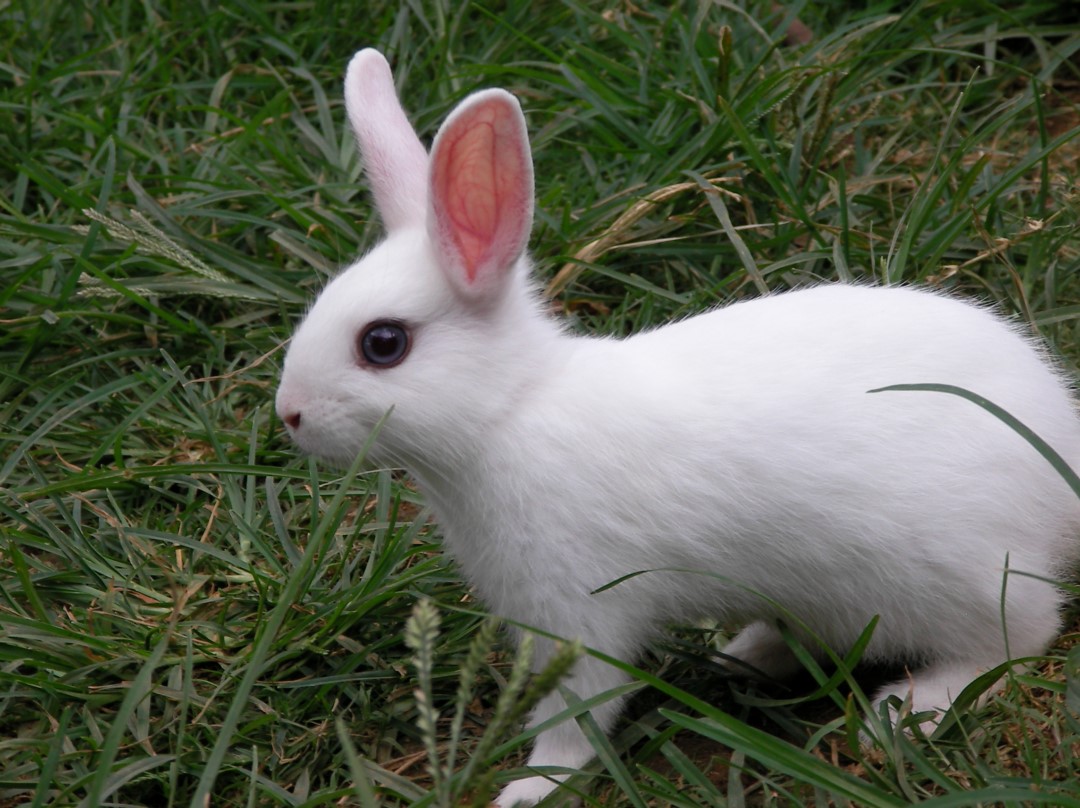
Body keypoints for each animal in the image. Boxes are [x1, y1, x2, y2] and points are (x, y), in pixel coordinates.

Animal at [276, 50, 1080, 808]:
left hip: (951, 577)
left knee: (1018, 637)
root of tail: (1061, 470)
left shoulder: (578, 608)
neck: (511, 410)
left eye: (383, 344)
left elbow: (576, 713)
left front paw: (533, 787)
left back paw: (911, 708)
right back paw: (745, 655)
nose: (289, 414)